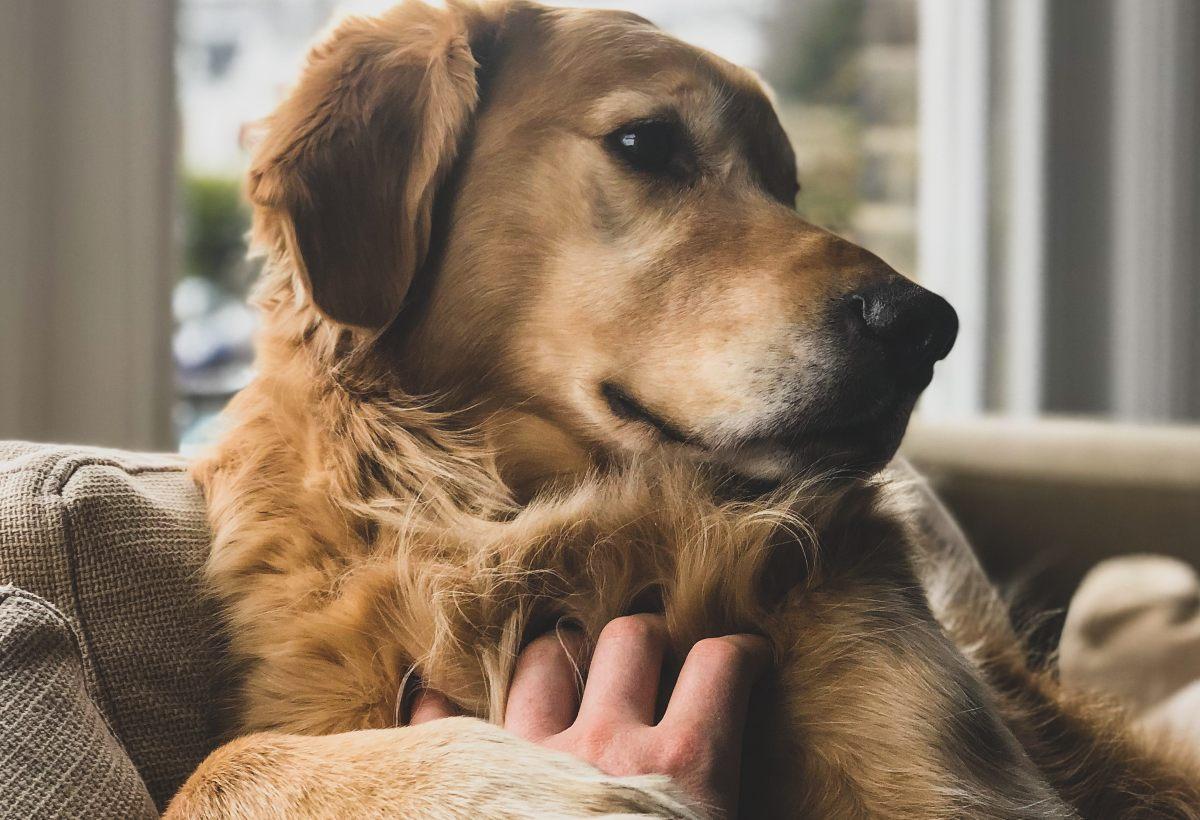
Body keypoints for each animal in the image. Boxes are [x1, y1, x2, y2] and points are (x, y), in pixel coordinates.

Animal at [166, 3, 1200, 816]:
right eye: (646, 144)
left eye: (787, 185)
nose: (925, 327)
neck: (534, 520)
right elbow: (217, 768)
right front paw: (543, 789)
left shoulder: (944, 757)